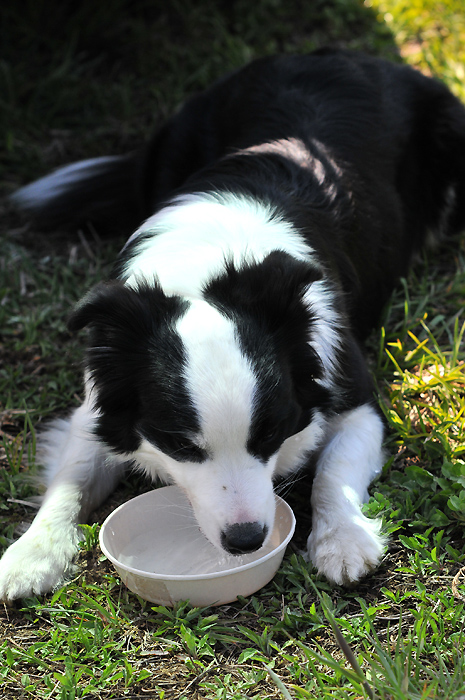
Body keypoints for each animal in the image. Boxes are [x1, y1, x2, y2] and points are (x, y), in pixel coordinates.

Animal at [0, 47, 464, 600]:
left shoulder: (352, 395)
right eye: (181, 446)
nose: (246, 541)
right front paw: (31, 554)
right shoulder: (101, 401)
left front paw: (343, 540)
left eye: (270, 435)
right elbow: (70, 479)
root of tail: (343, 54)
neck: (205, 272)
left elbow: (332, 470)